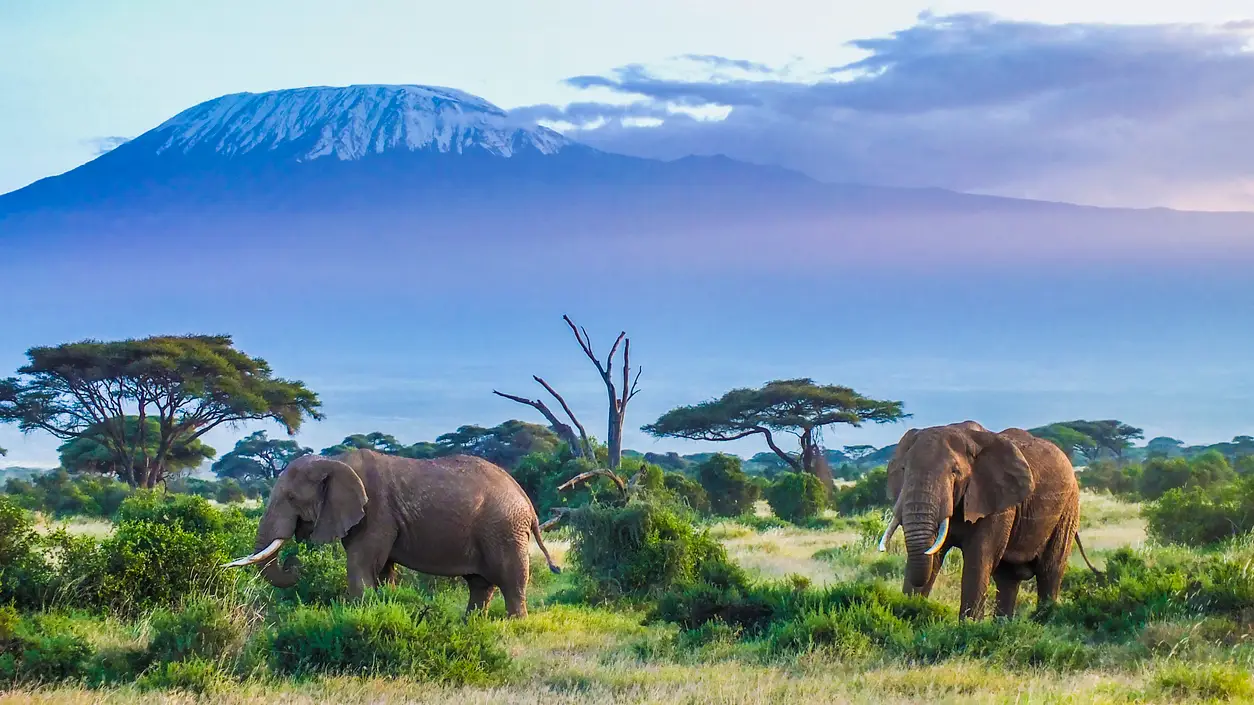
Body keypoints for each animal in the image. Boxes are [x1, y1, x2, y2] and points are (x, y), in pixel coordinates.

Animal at [222, 449, 560, 617]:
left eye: (291, 498)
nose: (294, 563)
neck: (335, 462)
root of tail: (527, 502)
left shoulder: (376, 511)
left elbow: (361, 564)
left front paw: (359, 615)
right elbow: (382, 569)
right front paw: (383, 606)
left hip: (504, 529)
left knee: (511, 580)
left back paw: (515, 624)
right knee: (479, 584)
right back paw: (471, 624)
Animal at [878, 421, 1098, 619]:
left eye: (954, 472)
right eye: (904, 470)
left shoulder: (997, 501)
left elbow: (979, 558)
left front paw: (968, 627)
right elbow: (934, 554)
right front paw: (908, 615)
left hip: (1068, 508)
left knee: (1050, 571)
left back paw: (1045, 620)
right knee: (1007, 578)